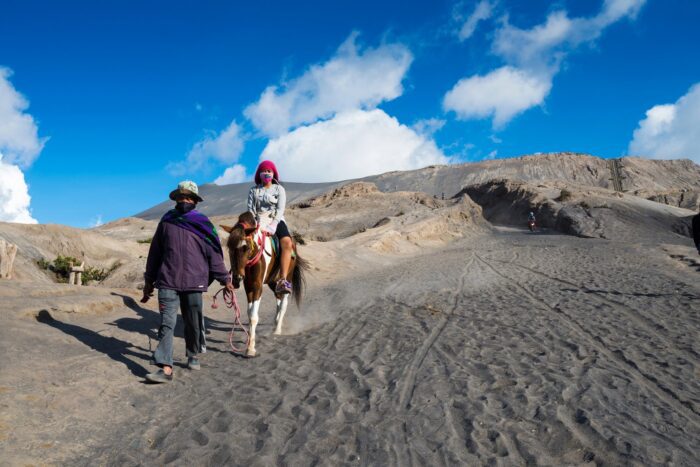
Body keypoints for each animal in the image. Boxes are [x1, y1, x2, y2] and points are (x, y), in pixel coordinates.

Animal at [219, 213, 306, 358]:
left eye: (246, 247)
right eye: (229, 248)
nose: (237, 278)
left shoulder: (257, 287)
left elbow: (254, 316)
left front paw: (250, 349)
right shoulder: (248, 287)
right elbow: (250, 315)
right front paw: (250, 343)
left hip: (286, 277)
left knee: (283, 303)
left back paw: (277, 329)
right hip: (272, 281)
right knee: (278, 299)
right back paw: (275, 322)